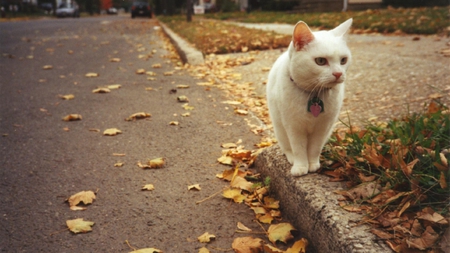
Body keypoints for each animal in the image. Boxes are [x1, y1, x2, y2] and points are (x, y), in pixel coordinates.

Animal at [268, 18, 352, 176]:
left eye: (343, 60)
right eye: (320, 61)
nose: (338, 73)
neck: (314, 94)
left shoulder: (323, 127)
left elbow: (314, 148)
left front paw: (313, 164)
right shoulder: (293, 127)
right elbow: (298, 148)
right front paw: (301, 167)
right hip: (280, 129)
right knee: (287, 147)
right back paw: (291, 158)